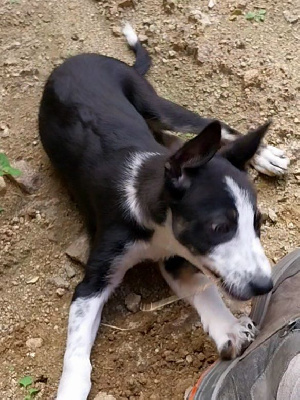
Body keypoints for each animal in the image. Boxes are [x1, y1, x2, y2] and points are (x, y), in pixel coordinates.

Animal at [38, 24, 290, 400]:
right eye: (219, 227)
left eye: (257, 224)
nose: (264, 286)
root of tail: (77, 59)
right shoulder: (94, 280)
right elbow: (77, 357)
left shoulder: (177, 257)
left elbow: (203, 287)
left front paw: (229, 327)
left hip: (155, 104)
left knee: (215, 126)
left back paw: (264, 155)